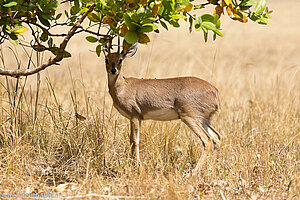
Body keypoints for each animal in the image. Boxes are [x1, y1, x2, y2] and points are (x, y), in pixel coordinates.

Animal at [103, 42, 223, 172]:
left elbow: (135, 140)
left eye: (120, 59)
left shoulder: (135, 116)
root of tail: (215, 91)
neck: (122, 86)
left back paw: (194, 172)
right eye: (106, 59)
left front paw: (137, 165)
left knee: (207, 140)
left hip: (189, 118)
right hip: (204, 120)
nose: (113, 70)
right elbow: (131, 139)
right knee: (217, 138)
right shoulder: (134, 118)